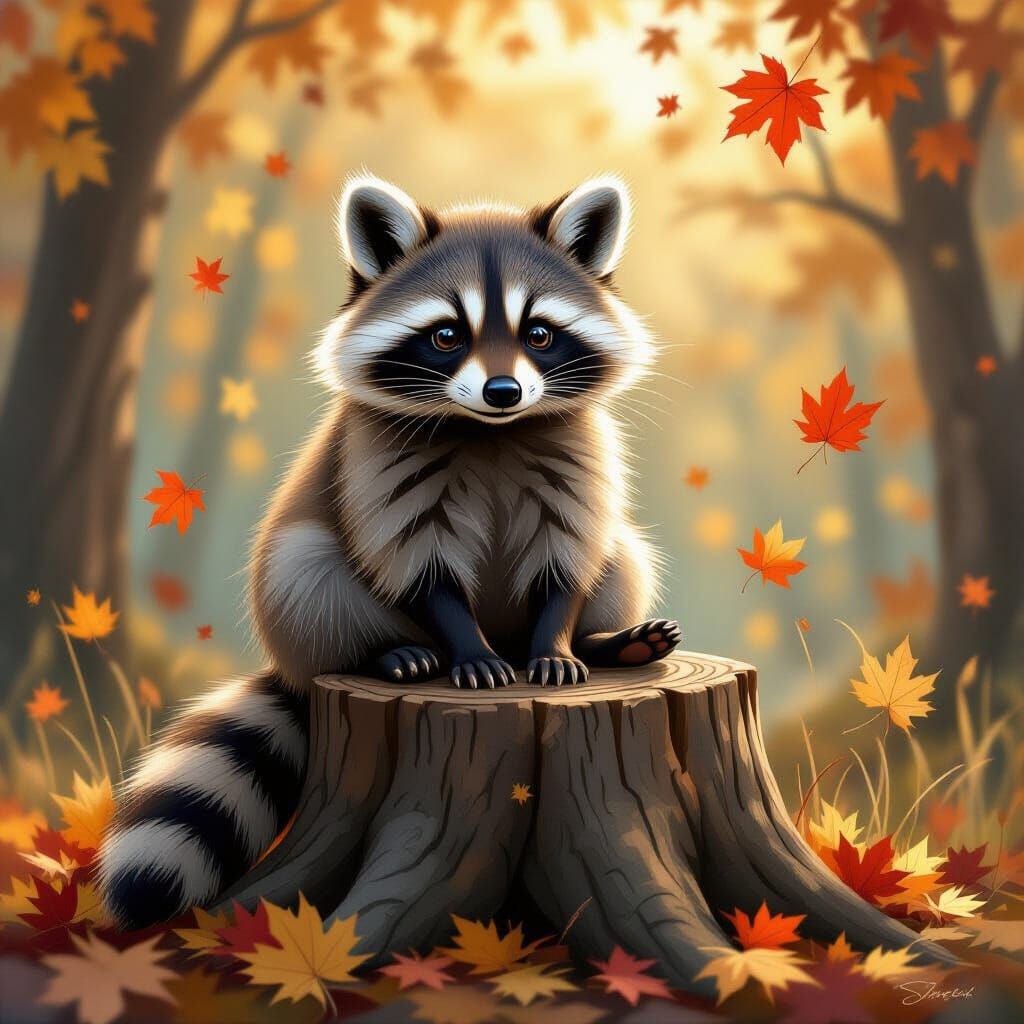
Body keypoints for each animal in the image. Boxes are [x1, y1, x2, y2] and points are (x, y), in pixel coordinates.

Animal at [97, 174, 681, 928]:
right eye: (446, 335)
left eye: (540, 334)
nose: (503, 391)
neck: (491, 431)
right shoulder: (373, 458)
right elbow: (417, 566)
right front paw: (466, 647)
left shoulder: (579, 454)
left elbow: (571, 554)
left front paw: (558, 640)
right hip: (296, 591)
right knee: (307, 570)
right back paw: (387, 652)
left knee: (625, 551)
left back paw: (609, 641)